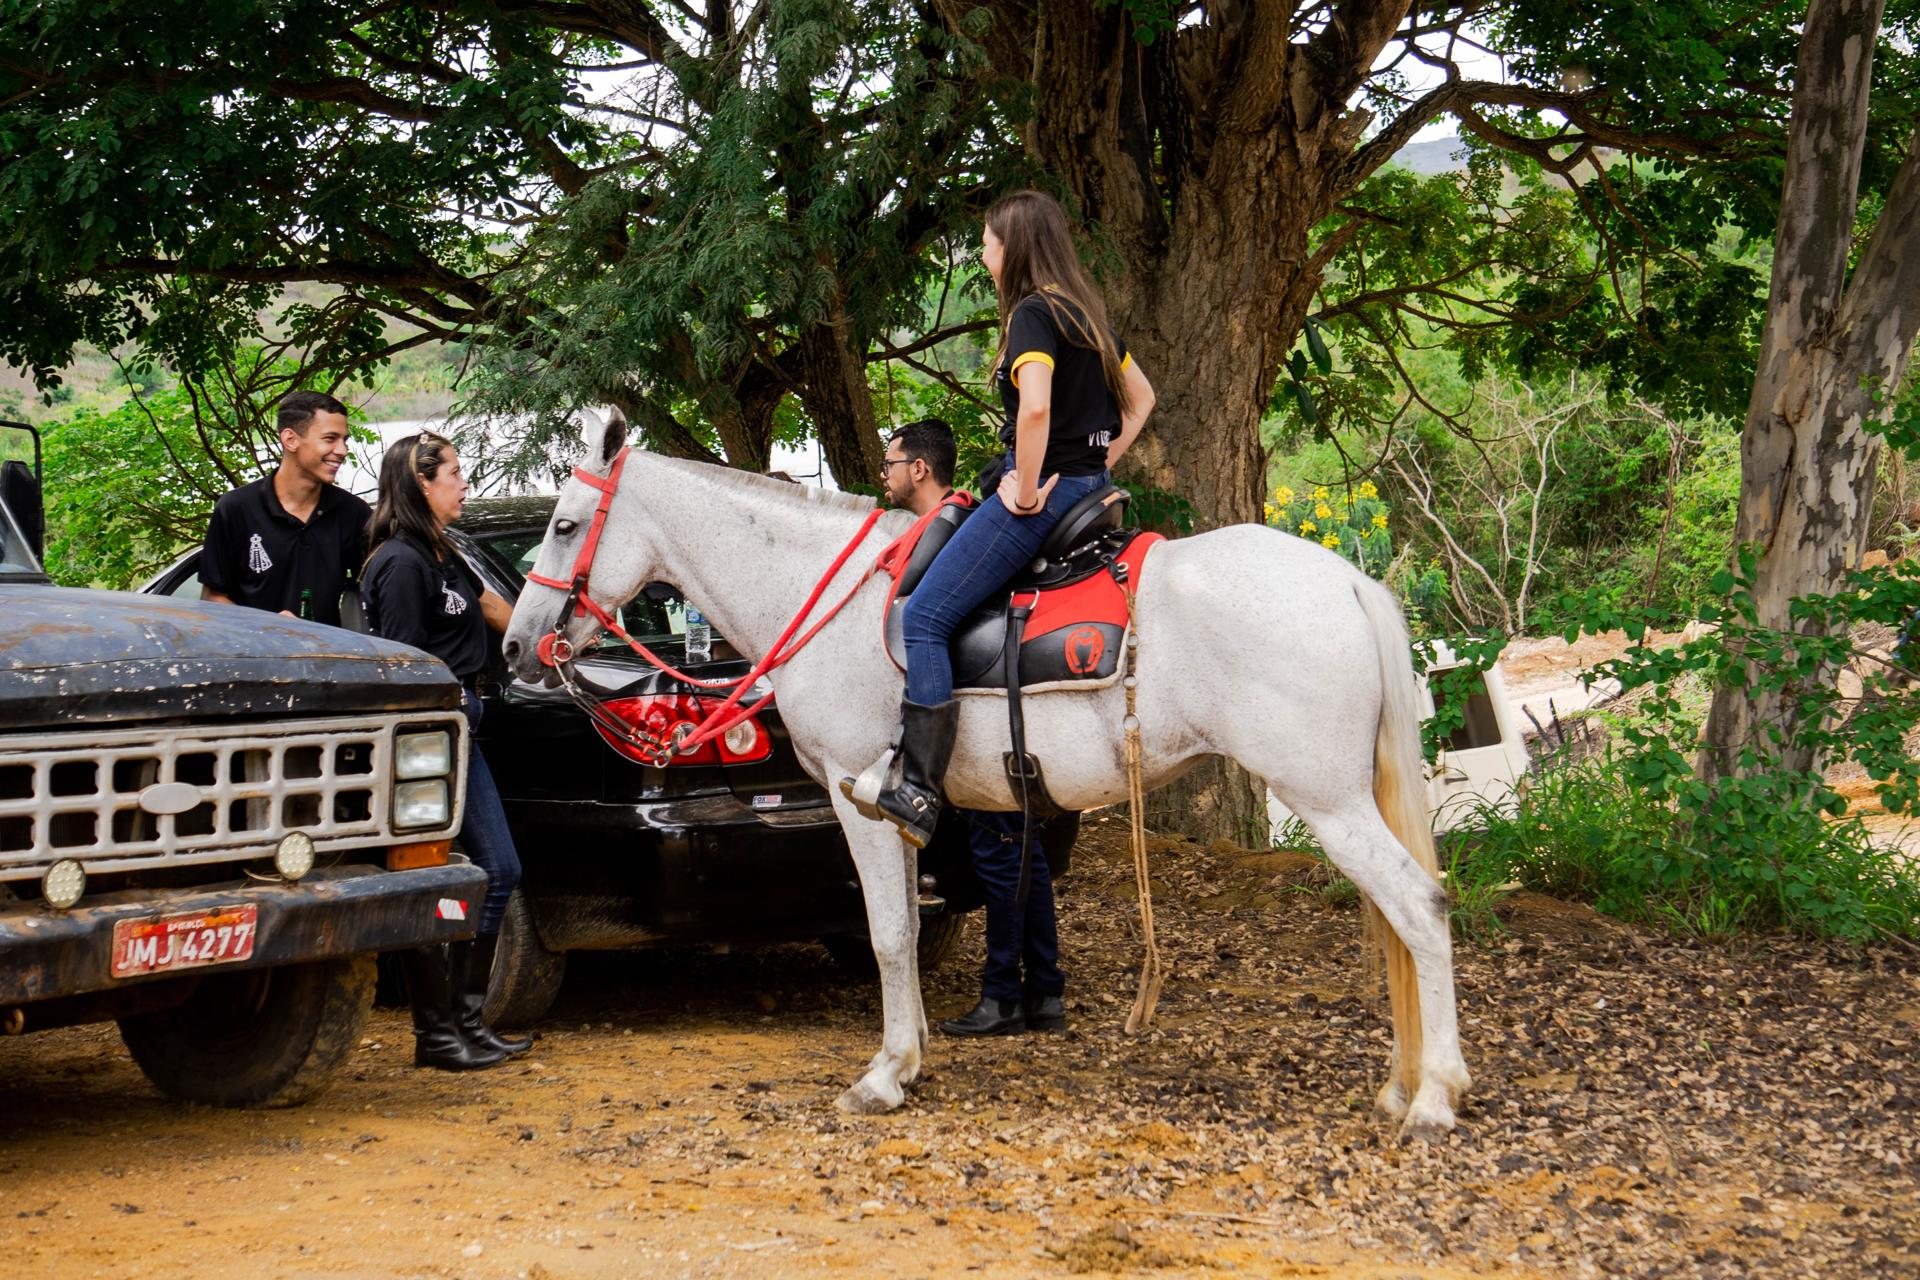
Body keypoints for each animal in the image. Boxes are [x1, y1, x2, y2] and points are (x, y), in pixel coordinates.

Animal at [501, 409, 1472, 1140]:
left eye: (562, 525)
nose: (517, 643)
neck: (830, 595)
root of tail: (1347, 583)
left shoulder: (862, 801)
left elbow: (889, 934)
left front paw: (884, 1075)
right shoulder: (898, 815)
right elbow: (903, 927)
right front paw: (911, 1057)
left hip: (1329, 802)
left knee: (1419, 907)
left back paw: (1432, 1095)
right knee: (1398, 915)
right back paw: (1401, 1083)